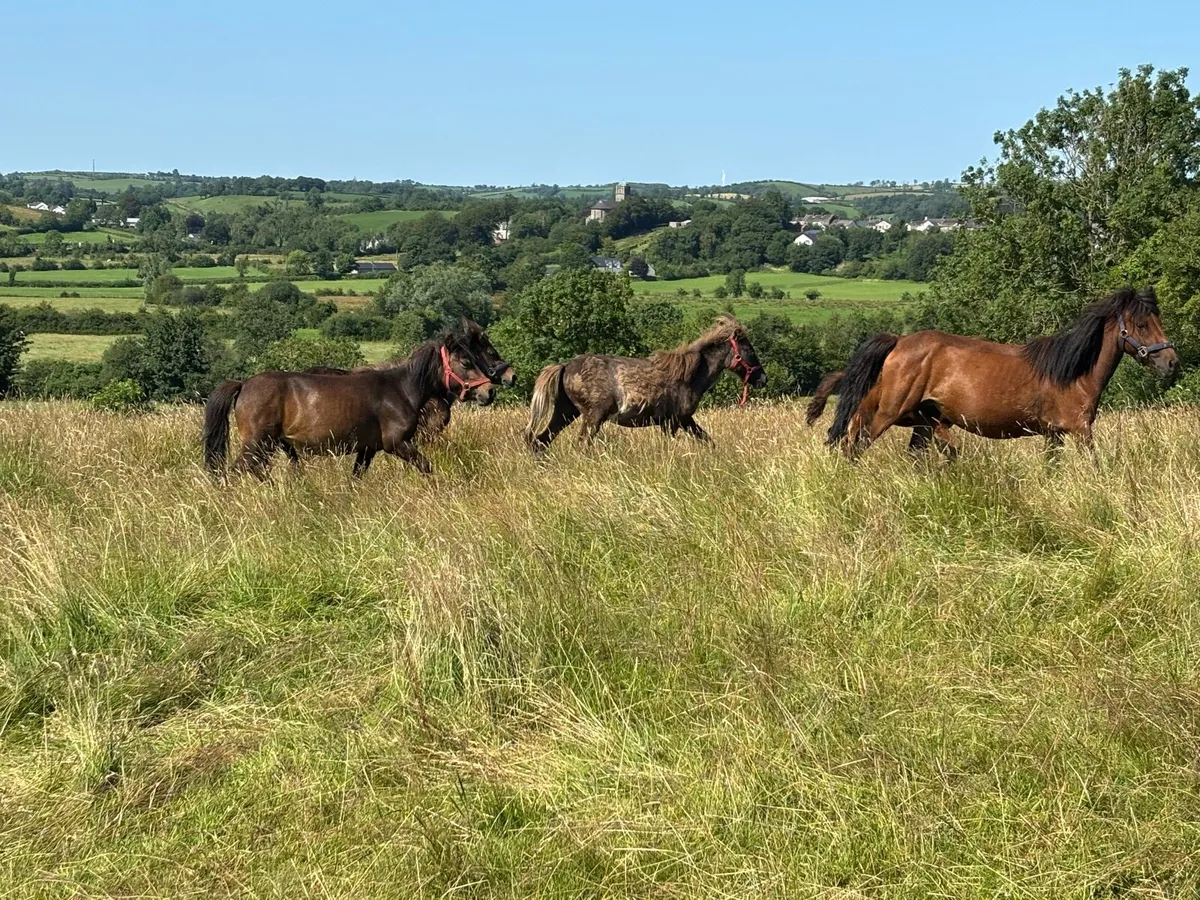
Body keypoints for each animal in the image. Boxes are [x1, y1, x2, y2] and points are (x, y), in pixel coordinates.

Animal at [203, 330, 497, 479]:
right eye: (466, 362)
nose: (490, 391)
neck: (401, 390)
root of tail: (244, 384)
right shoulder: (398, 444)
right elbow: (426, 467)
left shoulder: (367, 450)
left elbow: (355, 478)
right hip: (256, 444)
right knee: (235, 473)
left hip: (268, 445)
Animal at [524, 314, 767, 453]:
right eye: (749, 349)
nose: (763, 378)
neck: (689, 376)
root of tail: (565, 365)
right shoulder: (673, 422)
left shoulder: (684, 420)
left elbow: (707, 441)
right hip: (593, 416)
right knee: (579, 445)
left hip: (566, 412)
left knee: (541, 441)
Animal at [814, 286, 1177, 458]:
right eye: (1141, 325)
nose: (1171, 362)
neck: (1072, 372)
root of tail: (899, 341)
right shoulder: (1080, 430)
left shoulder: (1054, 434)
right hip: (888, 413)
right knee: (854, 447)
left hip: (926, 421)